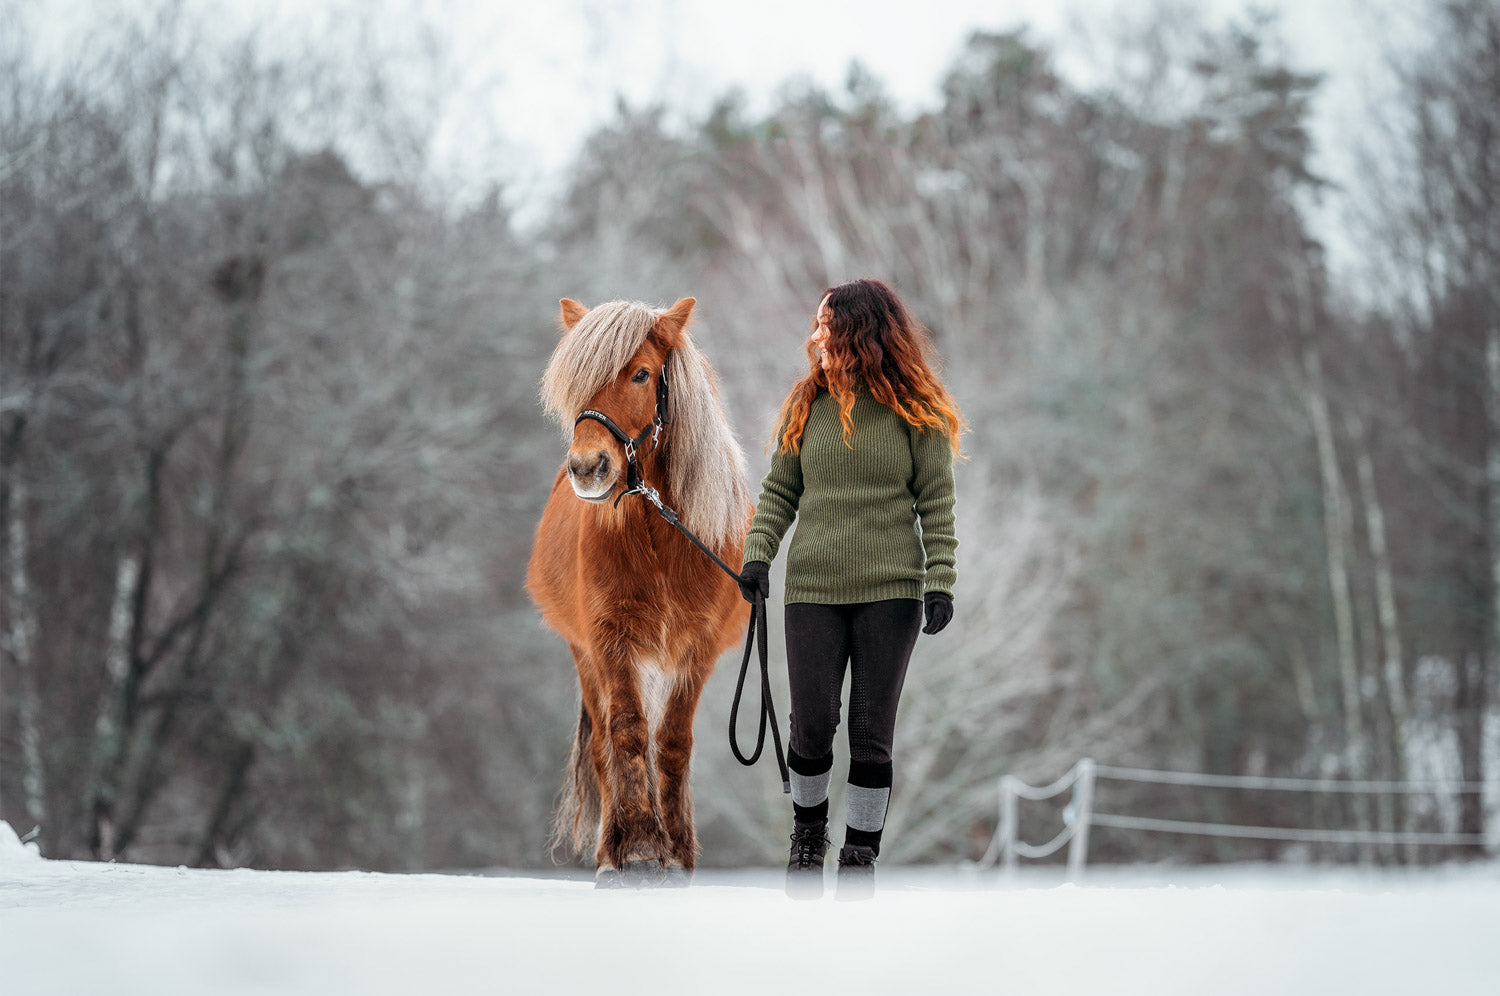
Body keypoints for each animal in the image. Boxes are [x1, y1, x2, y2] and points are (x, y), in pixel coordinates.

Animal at [534, 295, 756, 888]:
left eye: (640, 373)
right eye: (577, 381)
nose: (587, 467)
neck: (660, 534)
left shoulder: (696, 649)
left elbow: (673, 741)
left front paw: (674, 852)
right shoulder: (611, 641)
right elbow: (628, 733)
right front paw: (636, 848)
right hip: (585, 657)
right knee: (603, 746)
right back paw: (612, 851)